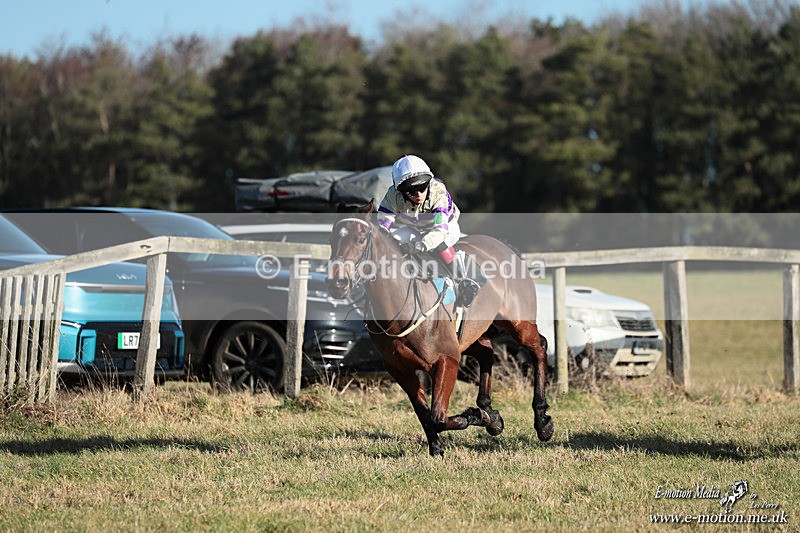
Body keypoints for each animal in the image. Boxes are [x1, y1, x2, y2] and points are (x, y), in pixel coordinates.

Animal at [326, 202, 553, 457]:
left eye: (360, 239)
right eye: (331, 240)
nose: (337, 284)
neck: (402, 305)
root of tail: (507, 247)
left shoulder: (447, 358)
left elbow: (438, 416)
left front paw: (474, 416)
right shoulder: (400, 368)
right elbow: (424, 413)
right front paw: (438, 447)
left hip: (517, 323)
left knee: (539, 347)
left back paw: (542, 420)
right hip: (467, 336)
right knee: (486, 350)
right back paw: (491, 414)